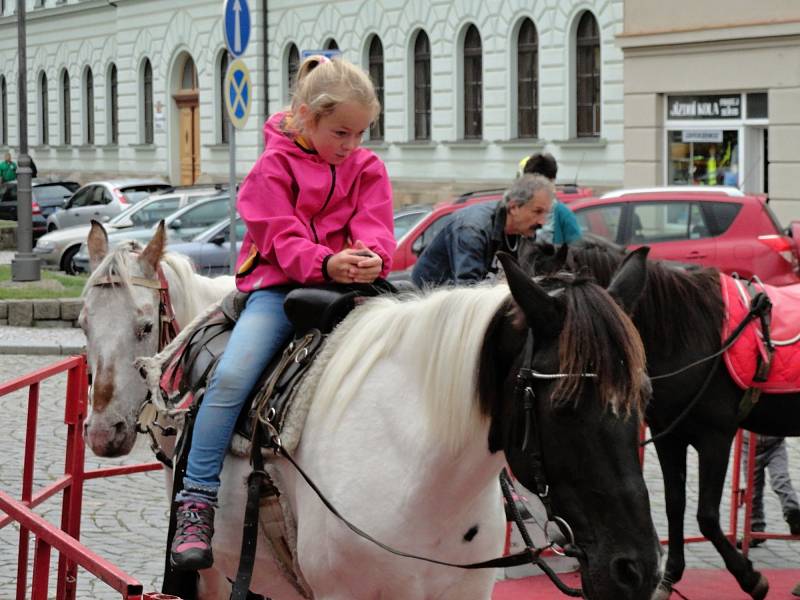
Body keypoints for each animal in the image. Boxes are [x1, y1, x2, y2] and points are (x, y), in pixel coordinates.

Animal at [524, 239, 800, 600]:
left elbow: (706, 515)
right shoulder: (669, 436)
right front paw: (668, 578)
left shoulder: (716, 436)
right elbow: (674, 504)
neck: (689, 332)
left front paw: (750, 577)